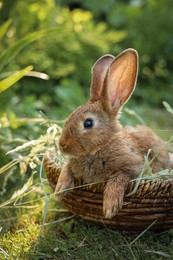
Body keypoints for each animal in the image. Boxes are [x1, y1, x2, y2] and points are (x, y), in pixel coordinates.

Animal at [54, 47, 171, 218]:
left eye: (88, 123)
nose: (62, 144)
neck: (102, 146)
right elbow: (66, 169)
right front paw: (59, 190)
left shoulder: (134, 167)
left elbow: (119, 177)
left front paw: (110, 207)